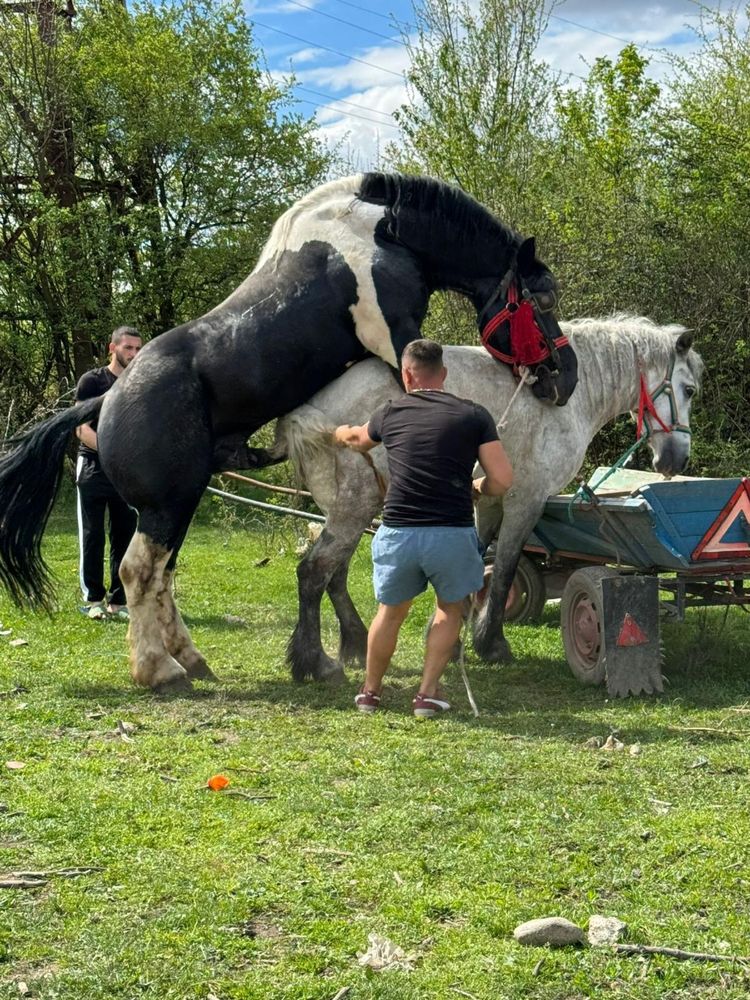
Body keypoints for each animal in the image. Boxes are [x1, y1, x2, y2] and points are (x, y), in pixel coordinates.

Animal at [0, 174, 564, 688]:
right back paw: (160, 671)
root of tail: (106, 399)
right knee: (138, 572)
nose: (565, 378)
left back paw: (193, 660)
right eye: (545, 300)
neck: (382, 231)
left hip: (176, 505)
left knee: (163, 576)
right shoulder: (396, 339)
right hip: (165, 508)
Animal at [274, 316, 704, 684]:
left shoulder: (485, 500)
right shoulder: (526, 499)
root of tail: (310, 411)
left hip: (351, 509)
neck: (570, 397)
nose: (676, 460)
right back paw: (314, 661)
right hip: (354, 508)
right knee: (313, 572)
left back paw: (355, 644)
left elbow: (476, 563)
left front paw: (453, 638)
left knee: (335, 575)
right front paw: (491, 643)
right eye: (688, 390)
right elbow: (504, 570)